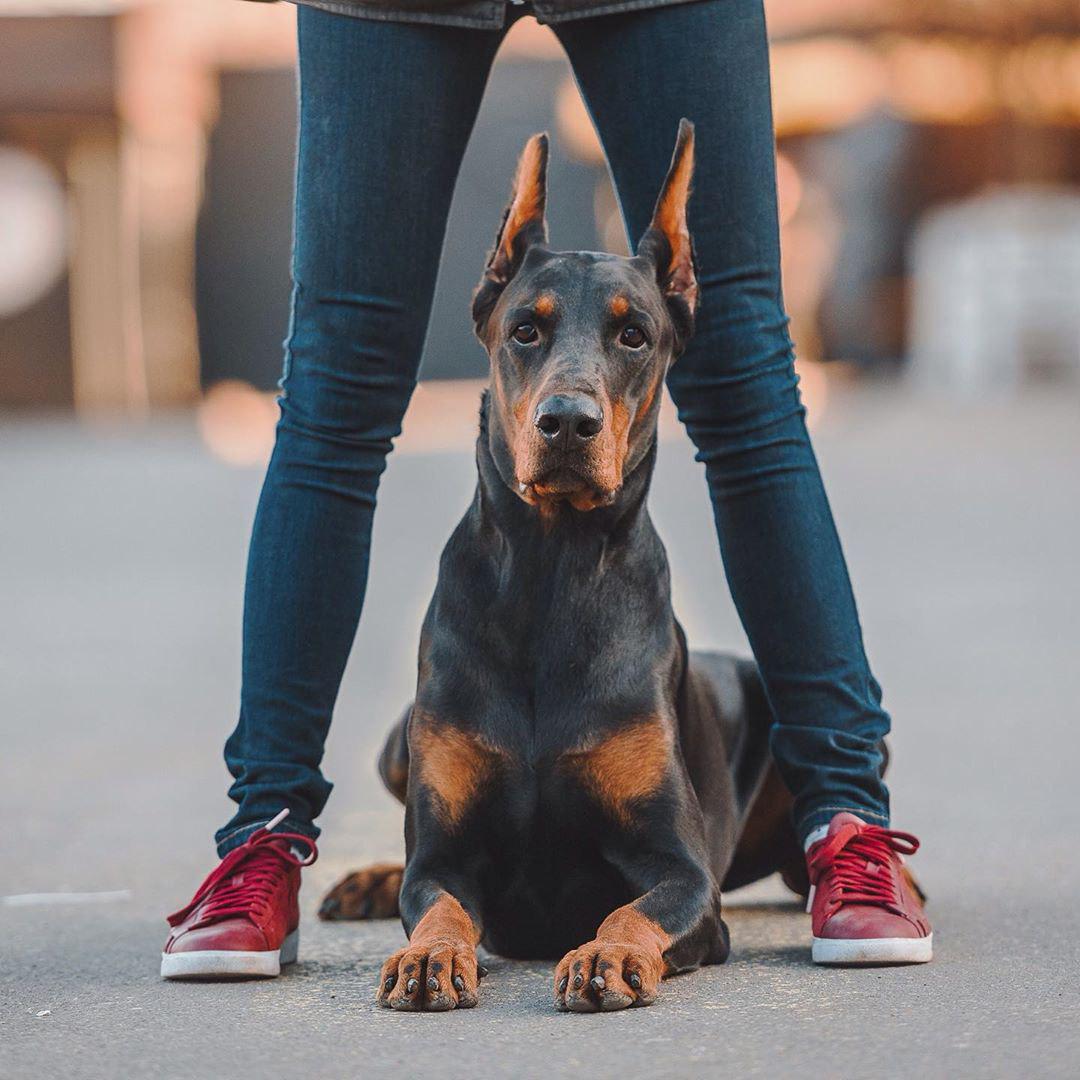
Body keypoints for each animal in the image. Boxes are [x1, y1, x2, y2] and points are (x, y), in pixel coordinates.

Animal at [315, 124, 807, 1010]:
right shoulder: (444, 856)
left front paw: (606, 956)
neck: (551, 570)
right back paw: (367, 881)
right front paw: (428, 957)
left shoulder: (686, 877)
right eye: (525, 330)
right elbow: (434, 898)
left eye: (634, 334)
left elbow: (632, 910)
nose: (567, 423)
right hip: (397, 740)